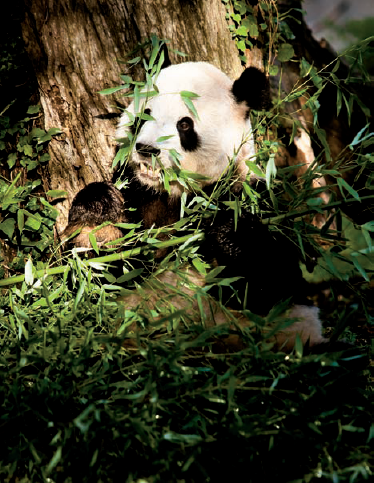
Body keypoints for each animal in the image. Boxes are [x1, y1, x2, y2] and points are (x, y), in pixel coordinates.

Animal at [65, 62, 342, 354]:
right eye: (145, 114)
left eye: (184, 124)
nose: (146, 149)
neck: (179, 195)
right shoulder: (139, 198)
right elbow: (103, 276)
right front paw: (99, 211)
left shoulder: (259, 196)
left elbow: (270, 284)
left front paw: (231, 233)